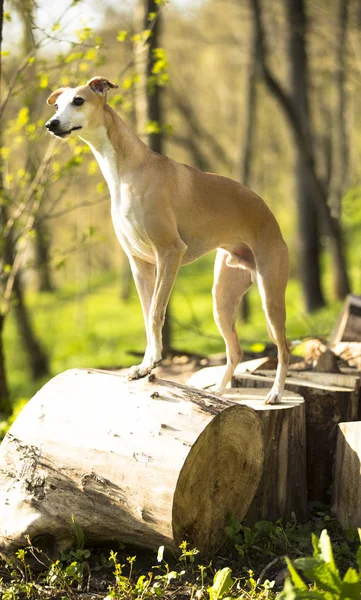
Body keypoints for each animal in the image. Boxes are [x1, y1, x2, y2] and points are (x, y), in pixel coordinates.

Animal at [45, 76, 290, 404]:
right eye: (57, 105)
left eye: (79, 101)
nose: (51, 124)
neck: (128, 170)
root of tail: (270, 215)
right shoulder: (139, 264)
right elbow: (146, 315)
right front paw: (144, 366)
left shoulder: (169, 253)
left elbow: (155, 315)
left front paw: (152, 363)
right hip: (222, 298)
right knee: (236, 350)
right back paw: (220, 391)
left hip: (270, 295)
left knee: (284, 347)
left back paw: (275, 393)